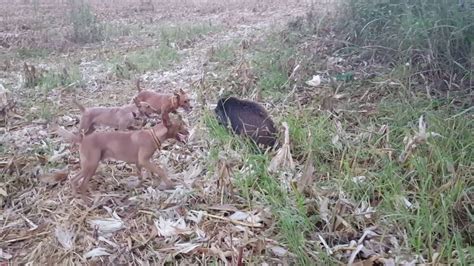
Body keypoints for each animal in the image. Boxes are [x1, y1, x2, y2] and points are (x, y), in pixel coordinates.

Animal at [59, 117, 191, 203]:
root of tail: (83, 139)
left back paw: (76, 196)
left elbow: (144, 175)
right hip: (91, 166)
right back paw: (86, 200)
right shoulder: (143, 160)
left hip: (88, 167)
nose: (188, 131)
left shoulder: (141, 162)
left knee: (74, 180)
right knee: (80, 183)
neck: (153, 135)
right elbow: (160, 170)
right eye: (180, 126)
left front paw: (147, 184)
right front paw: (169, 183)